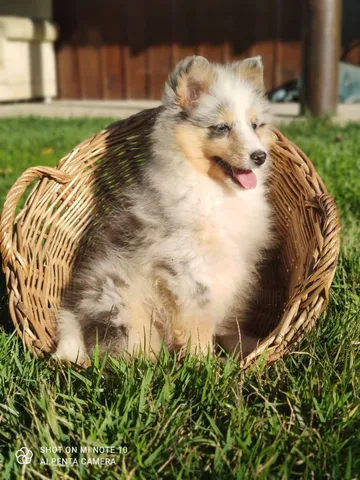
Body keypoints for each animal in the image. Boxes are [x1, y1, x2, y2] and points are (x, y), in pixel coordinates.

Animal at [55, 55, 272, 364]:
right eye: (221, 128)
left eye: (255, 125)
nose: (259, 156)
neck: (214, 190)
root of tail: (75, 310)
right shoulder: (190, 271)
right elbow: (198, 324)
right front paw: (203, 363)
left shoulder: (237, 268)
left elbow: (228, 320)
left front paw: (243, 345)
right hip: (121, 303)